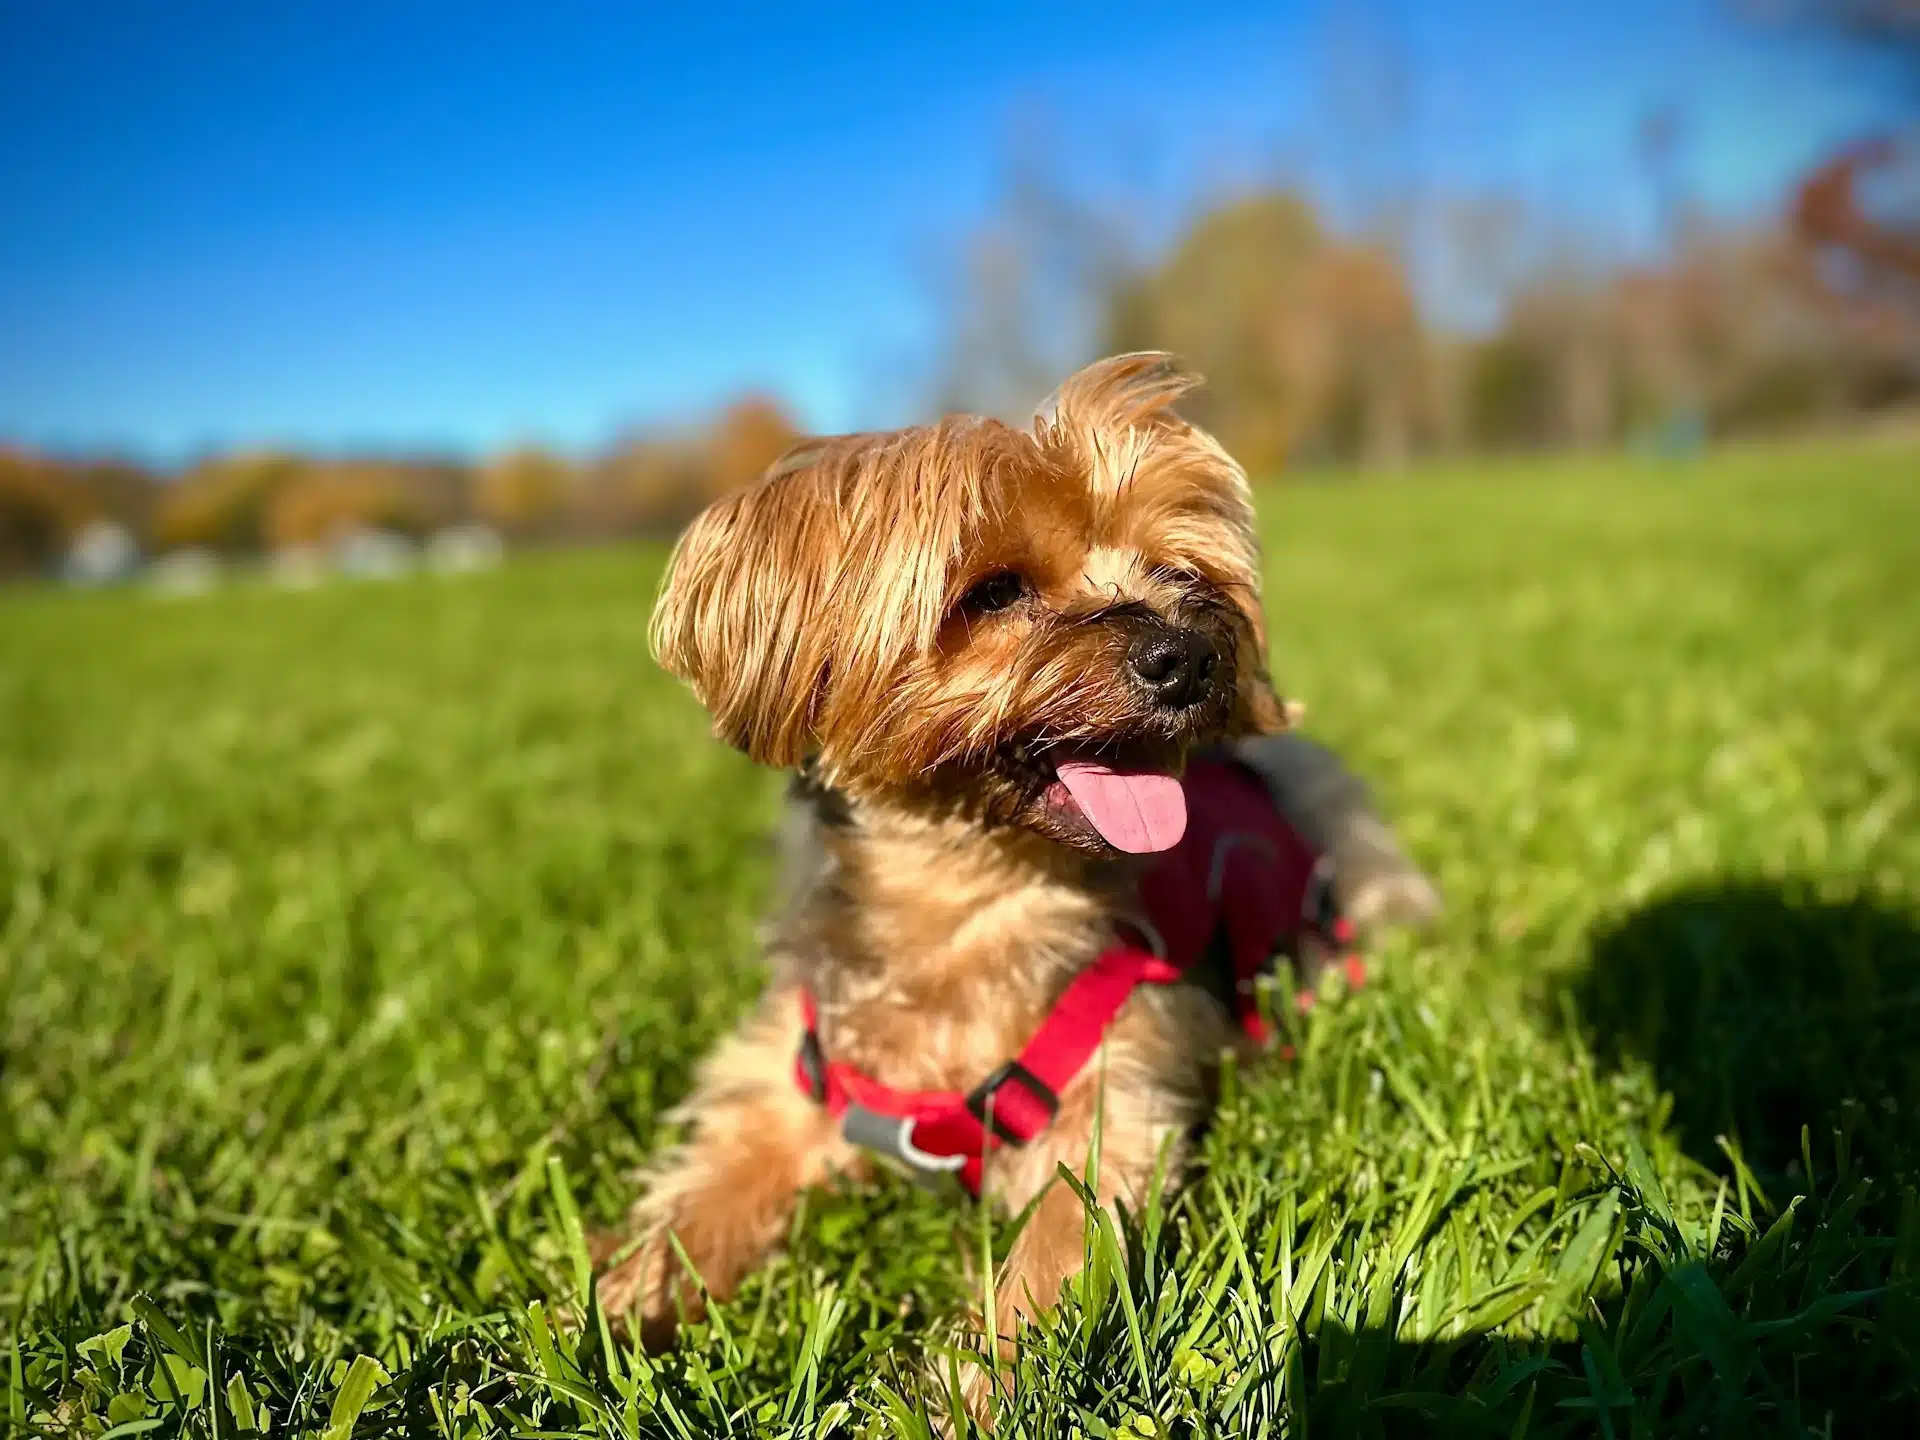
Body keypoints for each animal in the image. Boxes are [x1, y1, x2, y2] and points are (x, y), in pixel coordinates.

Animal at [591, 355, 1436, 1382]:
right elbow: (699, 1206)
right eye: (993, 591)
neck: (971, 896)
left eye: (1181, 572)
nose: (1191, 653)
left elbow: (1047, 1265)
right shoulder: (782, 1088)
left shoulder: (1113, 1103)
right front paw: (615, 1314)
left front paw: (963, 1393)